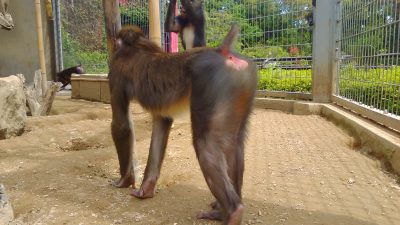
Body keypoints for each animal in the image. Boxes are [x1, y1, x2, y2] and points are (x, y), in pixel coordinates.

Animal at [108, 23, 258, 224]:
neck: (138, 45)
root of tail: (222, 51)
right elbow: (163, 120)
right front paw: (145, 190)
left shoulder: (116, 70)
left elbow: (121, 125)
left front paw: (123, 181)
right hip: (242, 87)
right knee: (234, 146)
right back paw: (221, 211)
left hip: (211, 84)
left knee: (206, 145)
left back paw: (233, 211)